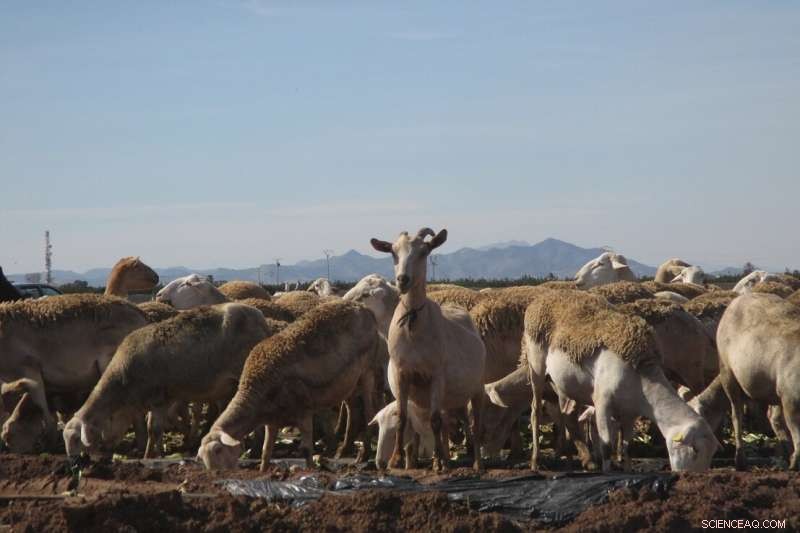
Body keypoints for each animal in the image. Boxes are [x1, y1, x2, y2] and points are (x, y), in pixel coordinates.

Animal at [63, 303, 278, 458]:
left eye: (75, 440)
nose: (73, 463)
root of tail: (259, 318)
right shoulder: (161, 400)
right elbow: (157, 427)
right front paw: (160, 451)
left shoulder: (159, 399)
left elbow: (153, 429)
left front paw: (149, 456)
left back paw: (255, 450)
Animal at [197, 300, 380, 471]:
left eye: (218, 450)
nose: (219, 474)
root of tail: (362, 307)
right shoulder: (271, 420)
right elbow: (266, 451)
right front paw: (263, 471)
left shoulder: (304, 409)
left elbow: (306, 449)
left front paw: (311, 471)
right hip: (349, 381)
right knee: (353, 411)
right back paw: (346, 451)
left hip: (367, 370)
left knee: (369, 411)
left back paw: (364, 454)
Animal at [371, 228, 486, 472]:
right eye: (393, 252)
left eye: (424, 251)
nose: (402, 279)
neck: (413, 324)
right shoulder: (401, 374)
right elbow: (403, 417)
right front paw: (397, 459)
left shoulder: (436, 375)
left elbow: (434, 421)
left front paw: (441, 460)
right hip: (452, 396)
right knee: (452, 423)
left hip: (477, 387)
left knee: (475, 423)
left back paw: (476, 463)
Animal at [522, 288, 718, 472]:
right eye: (695, 450)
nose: (692, 476)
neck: (643, 380)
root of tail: (542, 298)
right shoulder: (602, 404)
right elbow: (606, 447)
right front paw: (608, 471)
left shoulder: (630, 414)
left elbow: (627, 447)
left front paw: (627, 470)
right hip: (536, 366)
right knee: (535, 411)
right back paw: (536, 460)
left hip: (564, 384)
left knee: (567, 414)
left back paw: (579, 461)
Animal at [717, 293, 800, 469]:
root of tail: (735, 302)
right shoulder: (790, 398)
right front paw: (795, 462)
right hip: (727, 370)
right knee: (736, 414)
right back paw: (740, 461)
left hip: (774, 390)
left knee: (774, 418)